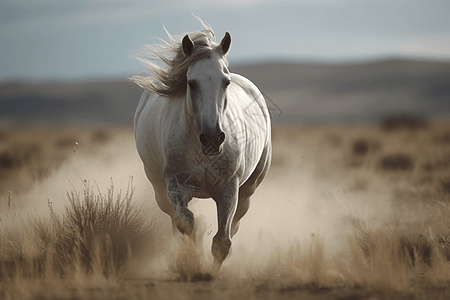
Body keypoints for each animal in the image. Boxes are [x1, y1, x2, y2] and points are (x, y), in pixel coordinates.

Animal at [130, 22, 270, 268]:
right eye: (191, 82)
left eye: (226, 82)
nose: (213, 138)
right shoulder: (176, 184)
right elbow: (185, 222)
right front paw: (193, 259)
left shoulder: (228, 189)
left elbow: (222, 241)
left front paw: (211, 271)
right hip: (159, 190)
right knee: (175, 220)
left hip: (248, 190)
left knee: (235, 224)